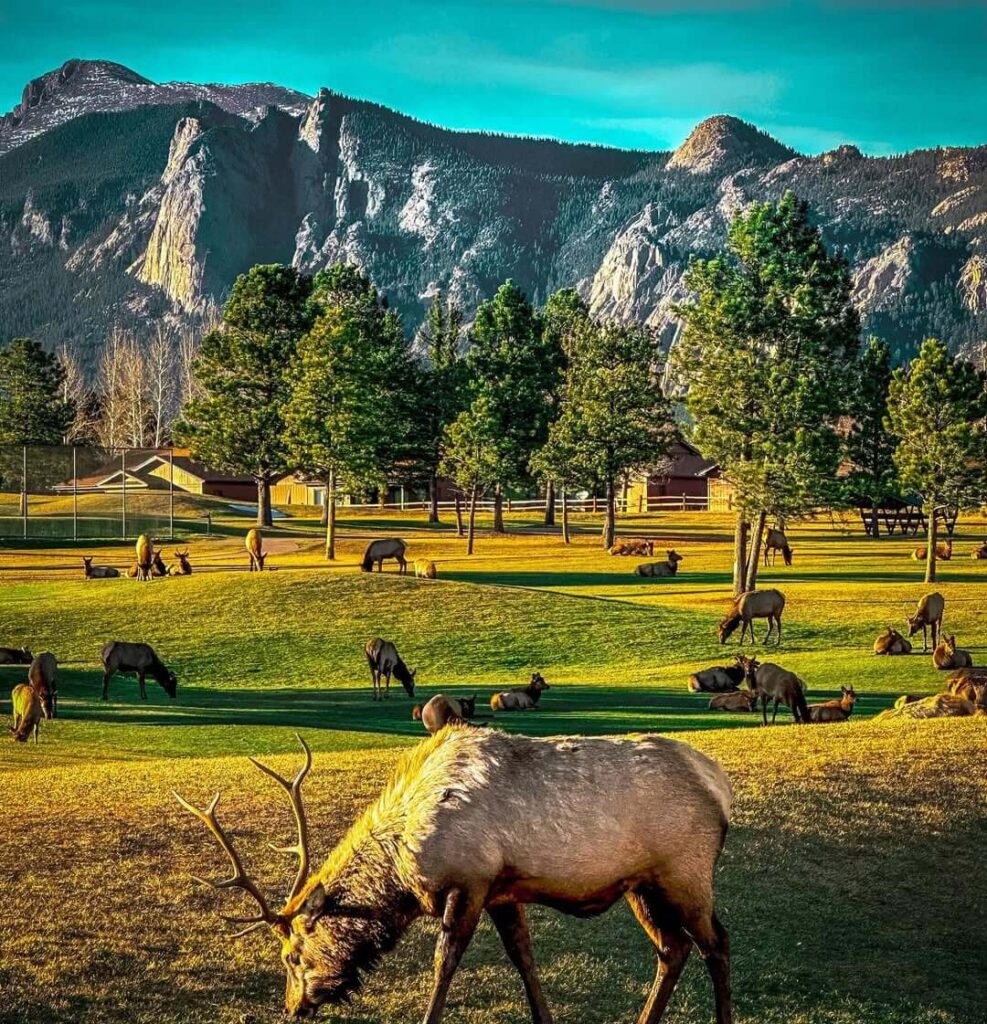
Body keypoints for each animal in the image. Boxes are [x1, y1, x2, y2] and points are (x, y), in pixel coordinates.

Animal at [174, 731, 734, 1024]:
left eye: (292, 956)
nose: (292, 1007)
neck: (404, 863)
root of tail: (721, 786)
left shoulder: (470, 882)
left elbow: (444, 964)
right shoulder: (504, 891)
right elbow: (523, 958)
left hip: (685, 872)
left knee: (717, 943)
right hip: (643, 885)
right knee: (673, 949)